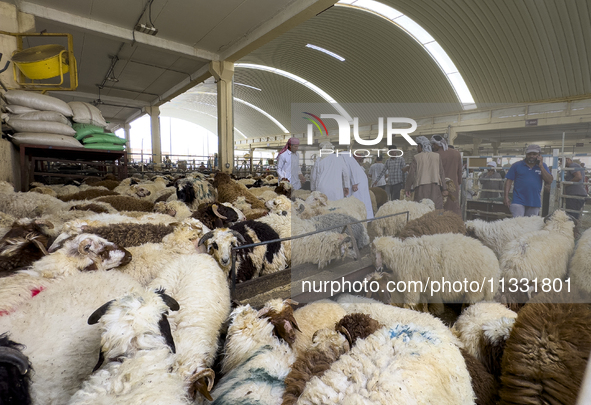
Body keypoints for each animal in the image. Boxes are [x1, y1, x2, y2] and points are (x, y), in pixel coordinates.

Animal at [372, 232, 502, 308]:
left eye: (375, 254)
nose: (377, 267)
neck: (399, 253)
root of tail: (494, 265)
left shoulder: (411, 281)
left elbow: (411, 300)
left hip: (476, 286)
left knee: (471, 301)